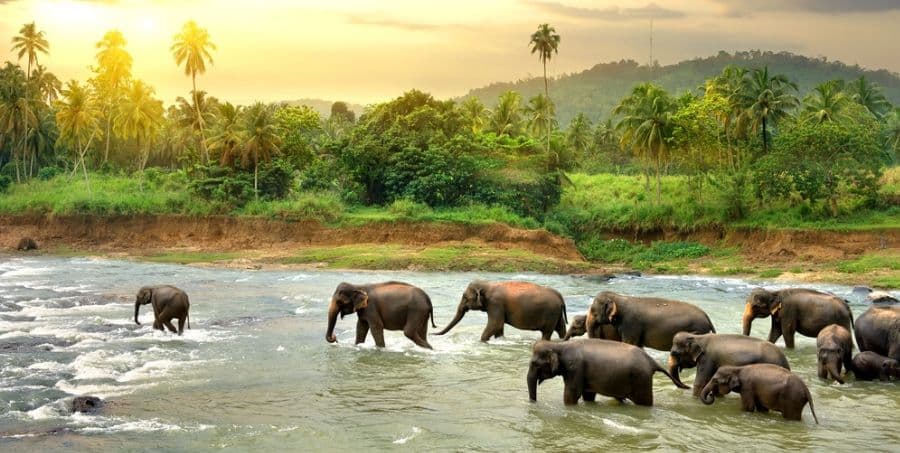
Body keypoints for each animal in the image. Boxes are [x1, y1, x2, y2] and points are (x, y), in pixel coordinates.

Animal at [434, 280, 567, 342]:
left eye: (465, 297)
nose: (432, 333)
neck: (487, 284)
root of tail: (560, 296)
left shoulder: (495, 304)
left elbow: (495, 324)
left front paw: (481, 341)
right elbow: (498, 328)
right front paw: (499, 340)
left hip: (551, 313)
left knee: (547, 333)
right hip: (557, 314)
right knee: (561, 329)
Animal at [527, 339, 688, 406]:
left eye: (534, 363)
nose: (533, 403)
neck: (559, 345)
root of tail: (652, 361)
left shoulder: (575, 368)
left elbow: (572, 393)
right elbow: (588, 394)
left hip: (641, 379)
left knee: (644, 402)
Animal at [585, 291, 715, 351]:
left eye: (593, 312)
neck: (619, 297)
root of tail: (707, 316)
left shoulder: (631, 325)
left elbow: (629, 343)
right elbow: (638, 346)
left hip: (699, 330)